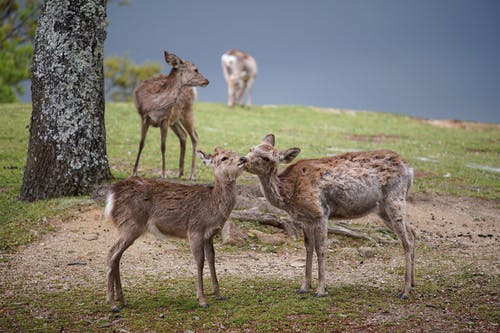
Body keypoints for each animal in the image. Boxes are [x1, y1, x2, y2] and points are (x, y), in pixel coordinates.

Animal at [104, 147, 247, 310]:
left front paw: (218, 294)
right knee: (111, 254)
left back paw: (121, 299)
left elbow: (212, 258)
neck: (213, 207)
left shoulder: (209, 235)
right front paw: (202, 299)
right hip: (131, 225)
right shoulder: (195, 230)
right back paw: (112, 303)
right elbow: (200, 261)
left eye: (235, 153)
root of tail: (112, 195)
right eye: (224, 158)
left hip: (125, 227)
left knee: (116, 256)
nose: (243, 159)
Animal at [131, 50, 209, 179]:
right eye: (195, 69)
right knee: (183, 135)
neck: (155, 104)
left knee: (194, 136)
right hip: (175, 119)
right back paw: (180, 172)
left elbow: (163, 146)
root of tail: (193, 90)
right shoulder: (144, 117)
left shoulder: (165, 119)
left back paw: (192, 174)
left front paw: (163, 174)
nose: (207, 80)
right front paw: (134, 172)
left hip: (187, 110)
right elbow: (141, 143)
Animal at [244, 134, 416, 298]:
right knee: (413, 234)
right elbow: (308, 248)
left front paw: (321, 289)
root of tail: (409, 169)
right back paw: (413, 284)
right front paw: (304, 287)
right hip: (383, 210)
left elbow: (321, 248)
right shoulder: (305, 219)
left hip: (395, 198)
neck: (289, 193)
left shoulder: (320, 213)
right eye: (251, 148)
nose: (243, 159)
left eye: (267, 158)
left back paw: (405, 291)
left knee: (406, 242)